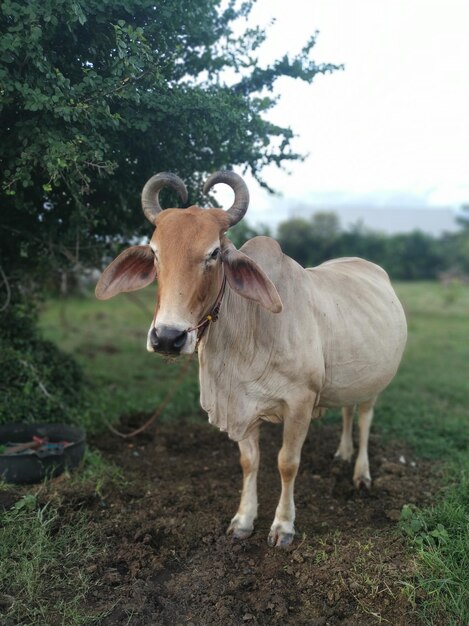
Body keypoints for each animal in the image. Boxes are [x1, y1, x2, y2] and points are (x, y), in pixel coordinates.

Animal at [95, 171, 406, 544]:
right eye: (155, 252)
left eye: (214, 253)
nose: (168, 337)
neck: (248, 328)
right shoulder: (240, 403)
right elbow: (249, 462)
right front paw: (244, 519)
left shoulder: (300, 402)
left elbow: (287, 462)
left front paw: (283, 525)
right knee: (347, 411)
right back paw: (343, 454)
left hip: (375, 382)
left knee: (363, 418)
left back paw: (361, 473)